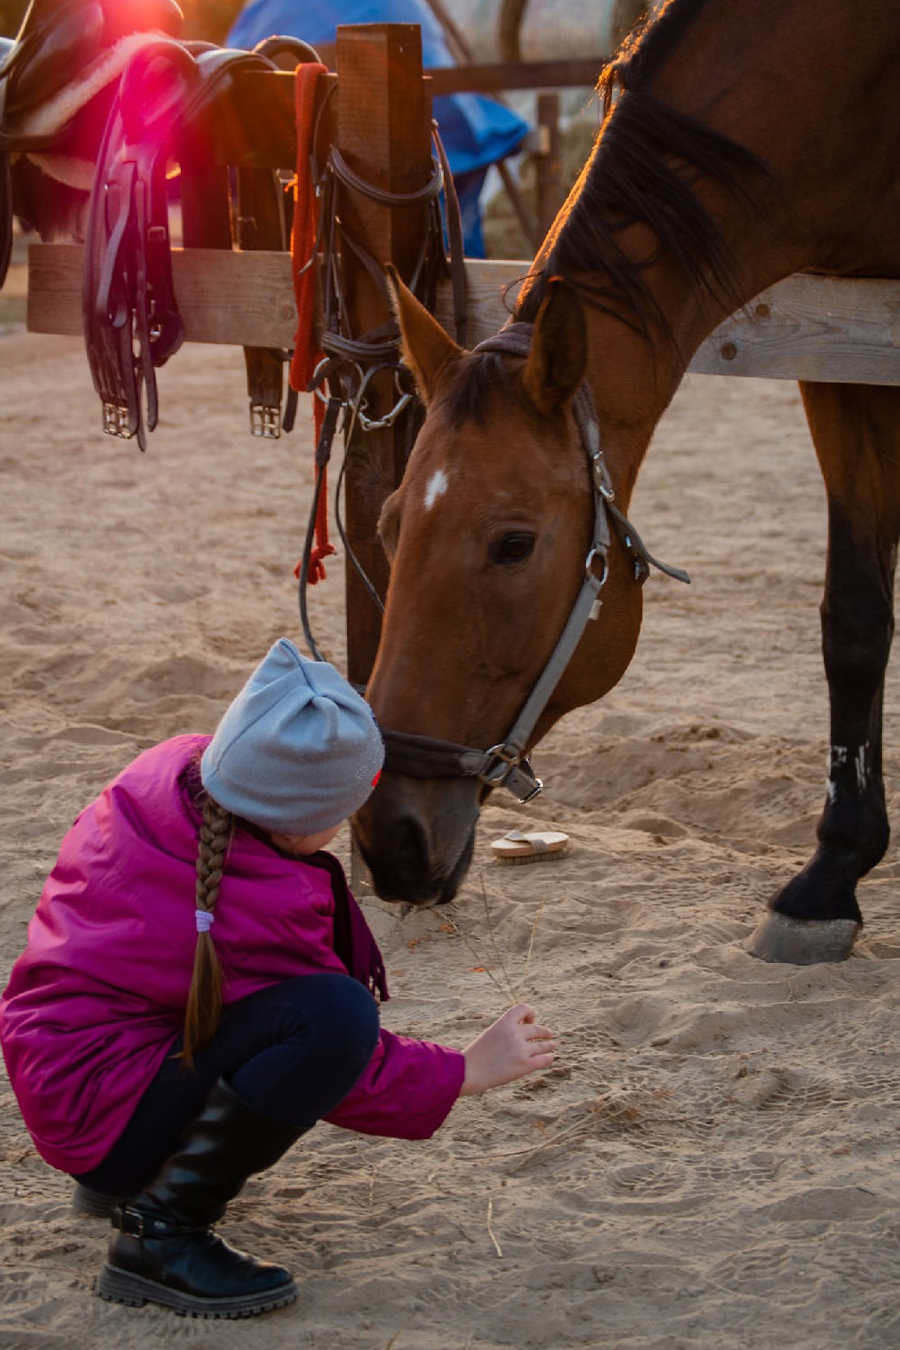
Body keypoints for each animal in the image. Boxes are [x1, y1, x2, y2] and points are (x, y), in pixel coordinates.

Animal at [353, 0, 900, 961]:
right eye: (387, 526)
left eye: (514, 545)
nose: (391, 838)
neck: (846, 79)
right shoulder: (845, 358)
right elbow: (856, 619)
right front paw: (832, 876)